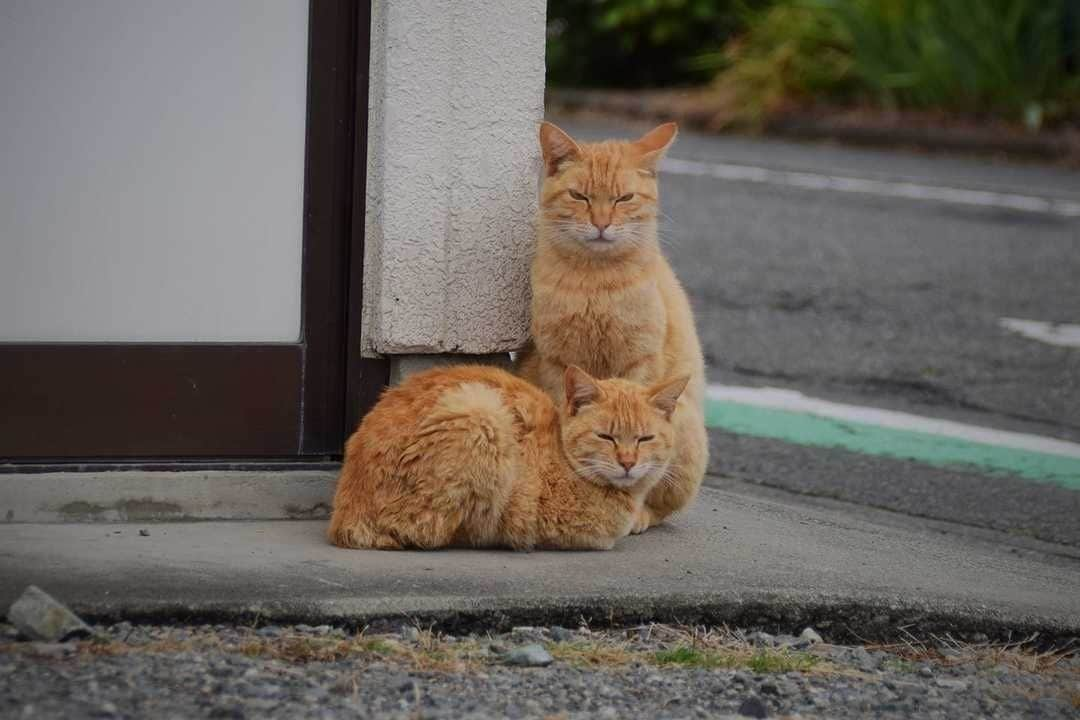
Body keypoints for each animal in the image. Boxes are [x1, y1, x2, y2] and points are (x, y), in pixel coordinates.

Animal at [324, 367, 686, 552]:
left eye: (645, 438)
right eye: (606, 437)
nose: (627, 462)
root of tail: (345, 516)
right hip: (481, 414)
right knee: (430, 534)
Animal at [516, 120, 708, 533]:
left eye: (624, 198)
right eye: (579, 196)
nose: (601, 224)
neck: (596, 282)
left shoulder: (639, 362)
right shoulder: (557, 361)